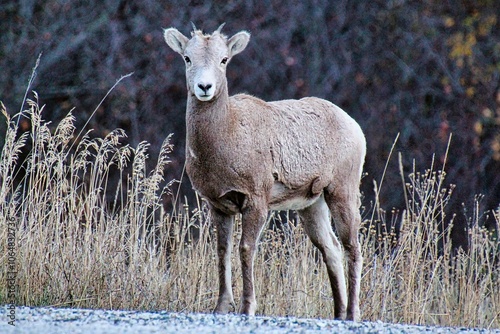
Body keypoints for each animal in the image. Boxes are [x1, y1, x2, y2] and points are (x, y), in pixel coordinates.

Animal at [166, 23, 366, 320]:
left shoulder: (256, 201)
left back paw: (352, 314)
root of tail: (354, 126)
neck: (227, 134)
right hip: (311, 205)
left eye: (224, 60)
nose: (204, 87)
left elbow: (246, 249)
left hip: (342, 192)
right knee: (330, 248)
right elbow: (222, 251)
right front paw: (220, 308)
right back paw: (338, 313)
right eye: (187, 58)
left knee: (352, 246)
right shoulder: (219, 206)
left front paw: (247, 308)